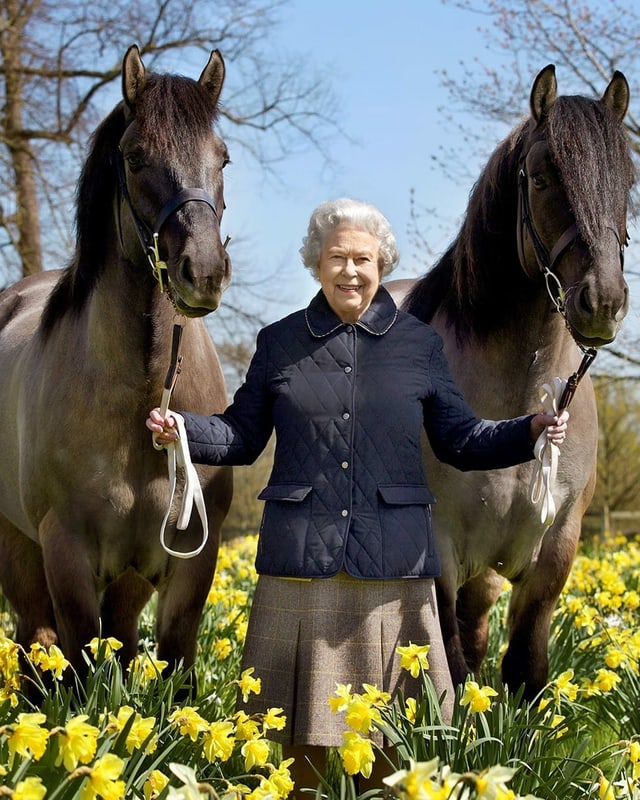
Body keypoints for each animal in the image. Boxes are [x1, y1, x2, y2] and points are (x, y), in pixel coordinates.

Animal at [0, 45, 232, 680]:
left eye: (223, 158)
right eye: (134, 157)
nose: (203, 271)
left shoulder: (189, 560)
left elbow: (174, 665)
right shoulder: (66, 554)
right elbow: (79, 662)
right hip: (19, 549)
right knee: (36, 643)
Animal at [388, 65, 632, 696]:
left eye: (626, 182)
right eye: (543, 177)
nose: (604, 303)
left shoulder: (556, 549)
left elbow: (525, 666)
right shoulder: (440, 548)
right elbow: (447, 667)